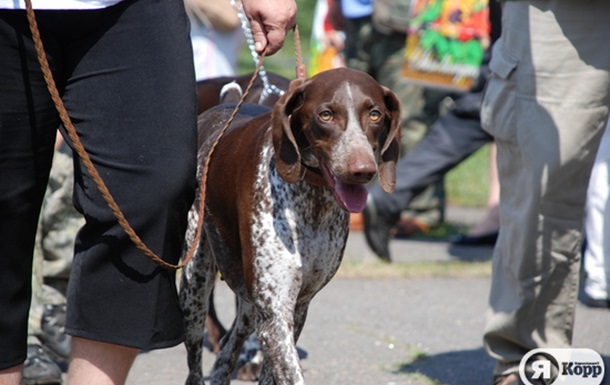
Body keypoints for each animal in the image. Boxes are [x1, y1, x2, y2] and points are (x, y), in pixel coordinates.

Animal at [178, 68, 402, 384]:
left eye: (374, 114)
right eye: (326, 115)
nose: (362, 170)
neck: (314, 199)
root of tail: (224, 106)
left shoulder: (296, 308)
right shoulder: (275, 313)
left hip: (249, 304)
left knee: (228, 348)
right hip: (194, 288)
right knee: (196, 365)